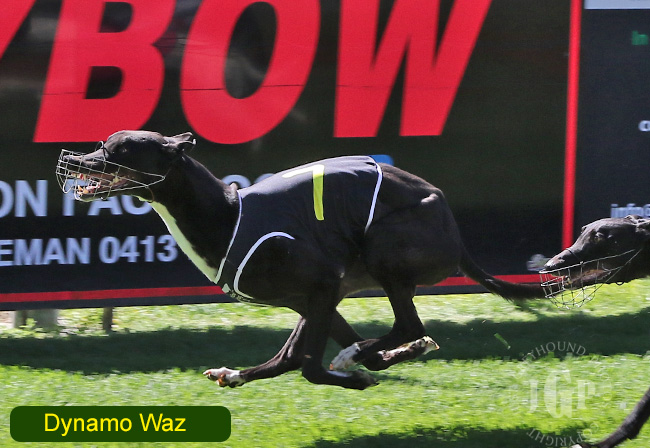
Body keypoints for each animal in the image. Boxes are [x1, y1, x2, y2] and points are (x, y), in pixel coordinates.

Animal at [56, 130, 543, 390]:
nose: (74, 159)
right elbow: (294, 358)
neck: (227, 213)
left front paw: (352, 372)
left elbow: (308, 365)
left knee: (406, 324)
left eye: (118, 150)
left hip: (384, 249)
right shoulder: (315, 297)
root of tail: (453, 227)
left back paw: (361, 355)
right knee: (367, 341)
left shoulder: (322, 284)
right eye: (103, 143)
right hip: (341, 288)